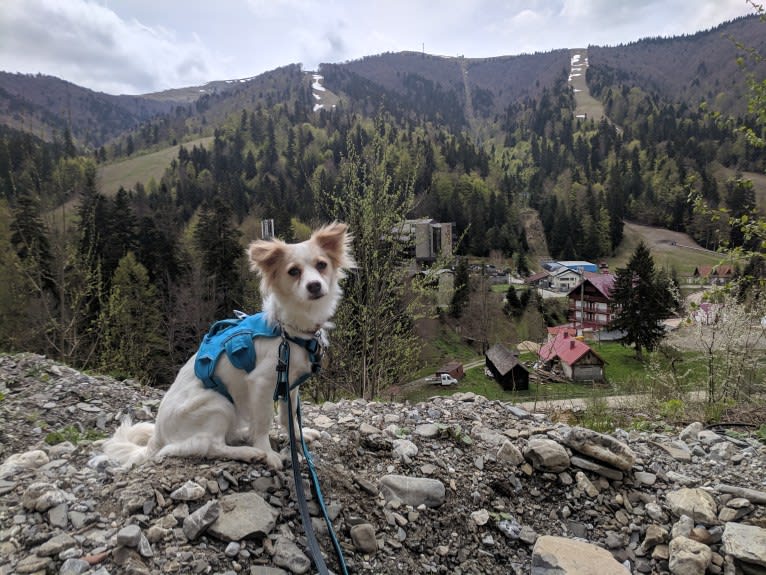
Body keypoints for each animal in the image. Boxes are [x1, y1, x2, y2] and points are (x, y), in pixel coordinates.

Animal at [100, 223, 356, 470]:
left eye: (321, 265)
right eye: (293, 271)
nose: (314, 286)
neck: (288, 330)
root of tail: (157, 438)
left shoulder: (289, 385)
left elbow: (288, 418)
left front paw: (299, 437)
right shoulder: (262, 383)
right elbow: (263, 422)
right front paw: (268, 452)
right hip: (219, 403)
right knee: (208, 445)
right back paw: (249, 452)